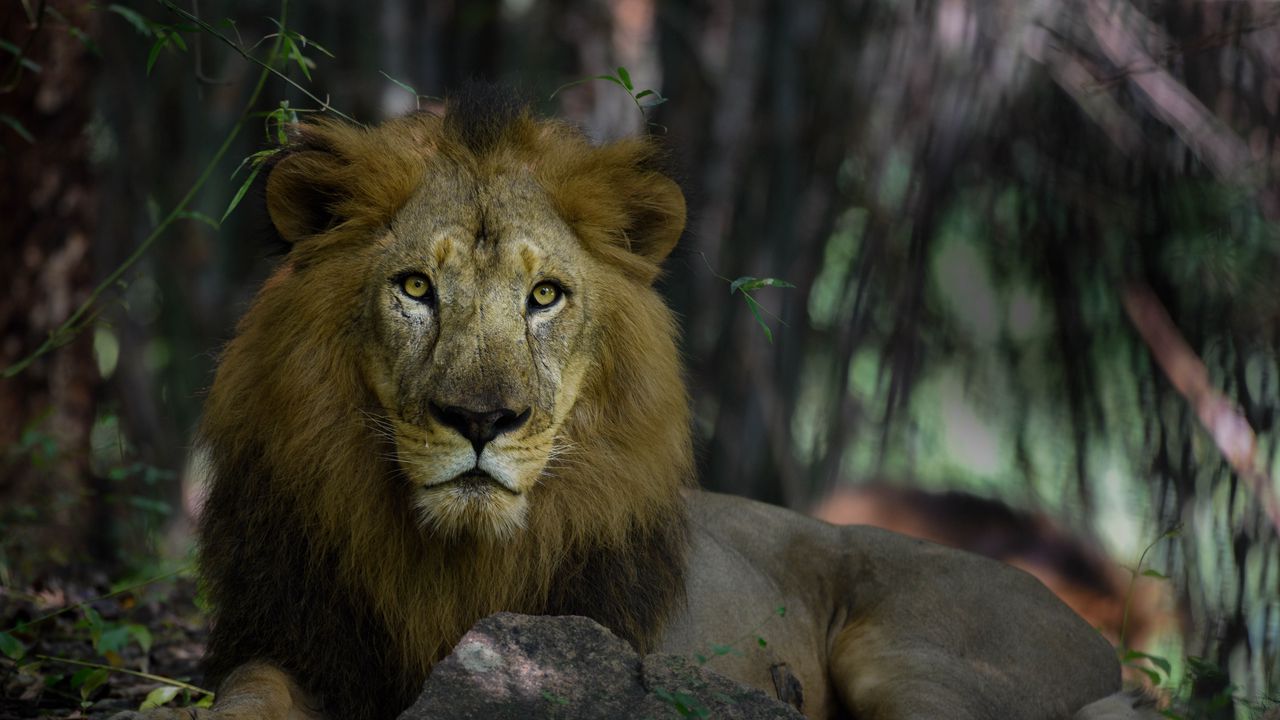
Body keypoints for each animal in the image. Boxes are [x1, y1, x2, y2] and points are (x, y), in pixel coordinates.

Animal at [115, 90, 1154, 720]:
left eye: (545, 296)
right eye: (414, 288)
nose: (482, 422)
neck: (446, 563)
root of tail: (1096, 634)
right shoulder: (289, 640)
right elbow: (243, 695)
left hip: (905, 655)